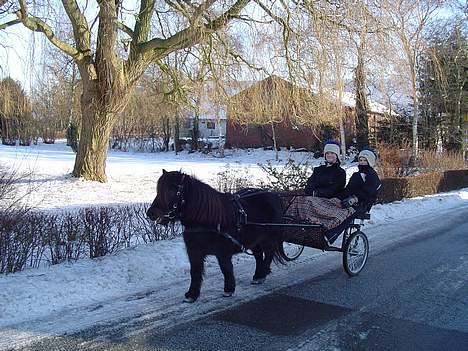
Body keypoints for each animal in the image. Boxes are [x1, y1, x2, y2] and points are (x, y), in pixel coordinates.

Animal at [148, 170, 284, 302]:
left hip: (268, 237)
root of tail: (274, 196)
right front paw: (192, 295)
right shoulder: (194, 253)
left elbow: (226, 269)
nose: (150, 213)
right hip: (254, 239)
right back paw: (257, 276)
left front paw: (228, 290)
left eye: (172, 189)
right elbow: (195, 271)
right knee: (258, 254)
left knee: (269, 253)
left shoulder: (223, 253)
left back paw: (263, 274)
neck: (206, 220)